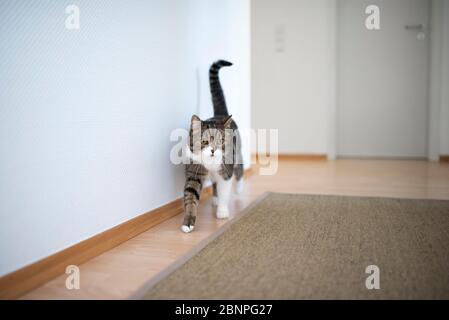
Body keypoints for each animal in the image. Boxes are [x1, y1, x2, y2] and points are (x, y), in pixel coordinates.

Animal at [181, 60, 243, 232]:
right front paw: (188, 223)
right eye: (204, 142)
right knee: (214, 184)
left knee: (239, 172)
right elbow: (191, 196)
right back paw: (214, 199)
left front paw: (222, 212)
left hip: (237, 155)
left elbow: (225, 190)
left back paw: (238, 189)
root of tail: (221, 115)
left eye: (220, 141)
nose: (213, 150)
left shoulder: (226, 170)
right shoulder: (194, 170)